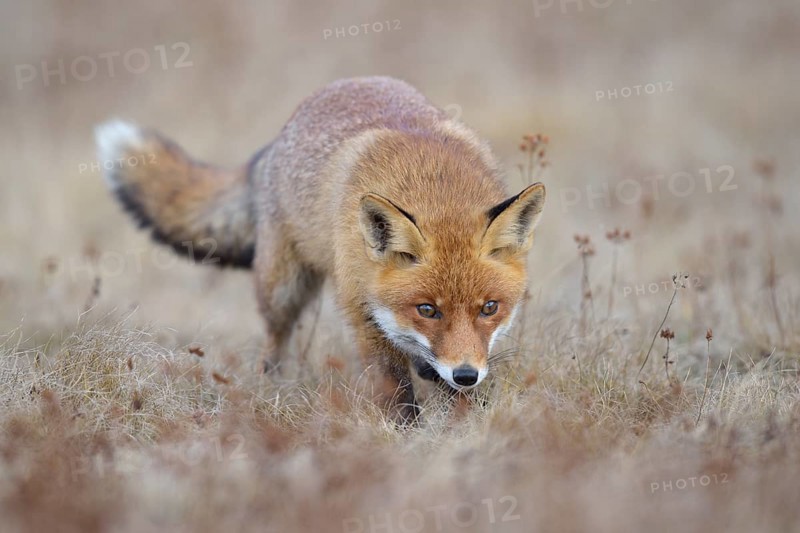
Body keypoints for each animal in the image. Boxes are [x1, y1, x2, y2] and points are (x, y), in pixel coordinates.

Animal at [95, 76, 546, 421]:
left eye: (490, 308)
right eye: (427, 310)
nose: (466, 374)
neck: (434, 185)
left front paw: (461, 424)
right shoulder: (362, 311)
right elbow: (396, 389)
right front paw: (406, 436)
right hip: (283, 289)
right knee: (274, 343)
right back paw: (272, 385)